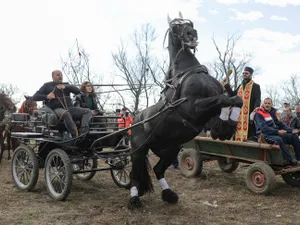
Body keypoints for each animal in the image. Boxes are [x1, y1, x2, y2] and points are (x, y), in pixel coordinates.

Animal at [127, 12, 243, 209]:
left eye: (190, 24)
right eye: (175, 27)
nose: (191, 34)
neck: (187, 72)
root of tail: (136, 119)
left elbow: (236, 100)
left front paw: (227, 128)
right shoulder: (193, 107)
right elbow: (223, 99)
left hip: (170, 149)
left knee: (158, 169)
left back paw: (169, 195)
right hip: (139, 151)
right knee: (135, 174)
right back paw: (134, 200)